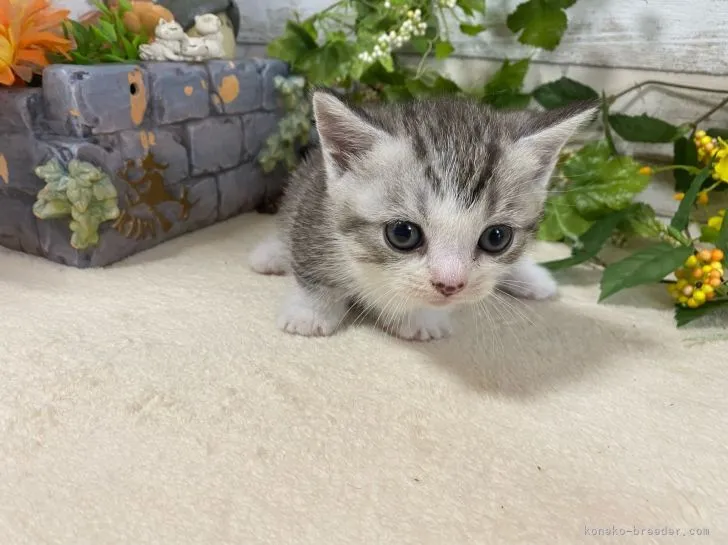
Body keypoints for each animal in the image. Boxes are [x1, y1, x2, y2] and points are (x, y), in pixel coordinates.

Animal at [252, 90, 596, 340]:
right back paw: (270, 255)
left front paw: (417, 317)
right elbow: (313, 272)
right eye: (402, 234)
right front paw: (310, 313)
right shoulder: (315, 211)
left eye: (497, 237)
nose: (450, 285)